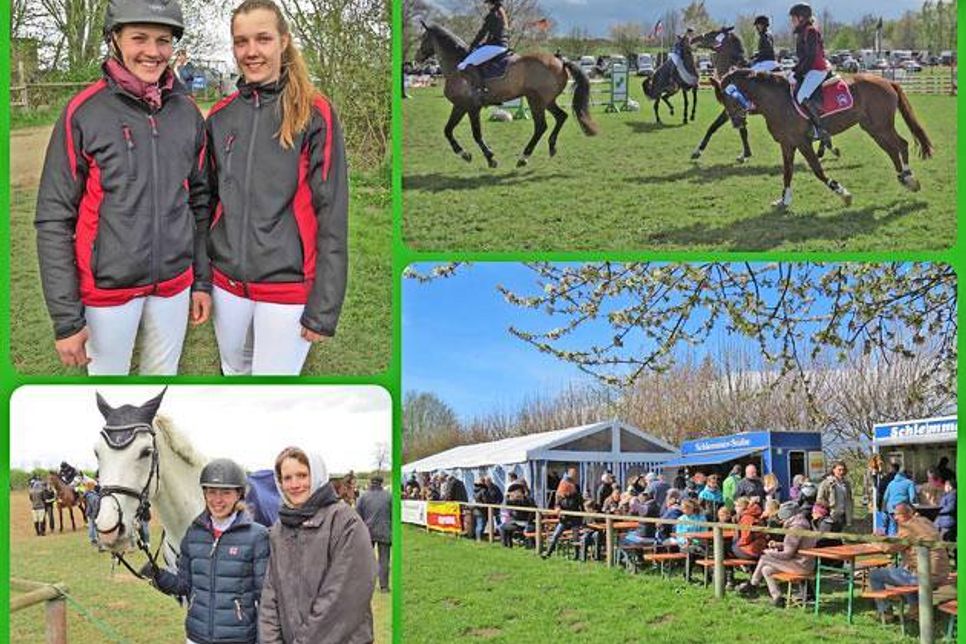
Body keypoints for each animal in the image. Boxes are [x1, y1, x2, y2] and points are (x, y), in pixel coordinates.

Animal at [416, 22, 596, 169]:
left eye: (423, 37)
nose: (417, 57)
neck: (457, 66)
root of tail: (560, 60)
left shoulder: (471, 108)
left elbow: (475, 134)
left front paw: (488, 158)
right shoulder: (460, 106)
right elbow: (448, 130)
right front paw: (466, 154)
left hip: (535, 101)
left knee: (541, 126)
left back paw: (524, 157)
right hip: (547, 101)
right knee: (561, 117)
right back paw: (551, 147)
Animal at [724, 70, 932, 211]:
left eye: (727, 97)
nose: (736, 123)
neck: (777, 101)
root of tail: (887, 81)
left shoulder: (802, 142)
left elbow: (818, 170)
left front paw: (843, 193)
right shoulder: (787, 143)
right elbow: (787, 173)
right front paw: (784, 200)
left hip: (881, 126)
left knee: (901, 145)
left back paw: (909, 177)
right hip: (874, 128)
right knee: (892, 149)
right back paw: (904, 178)